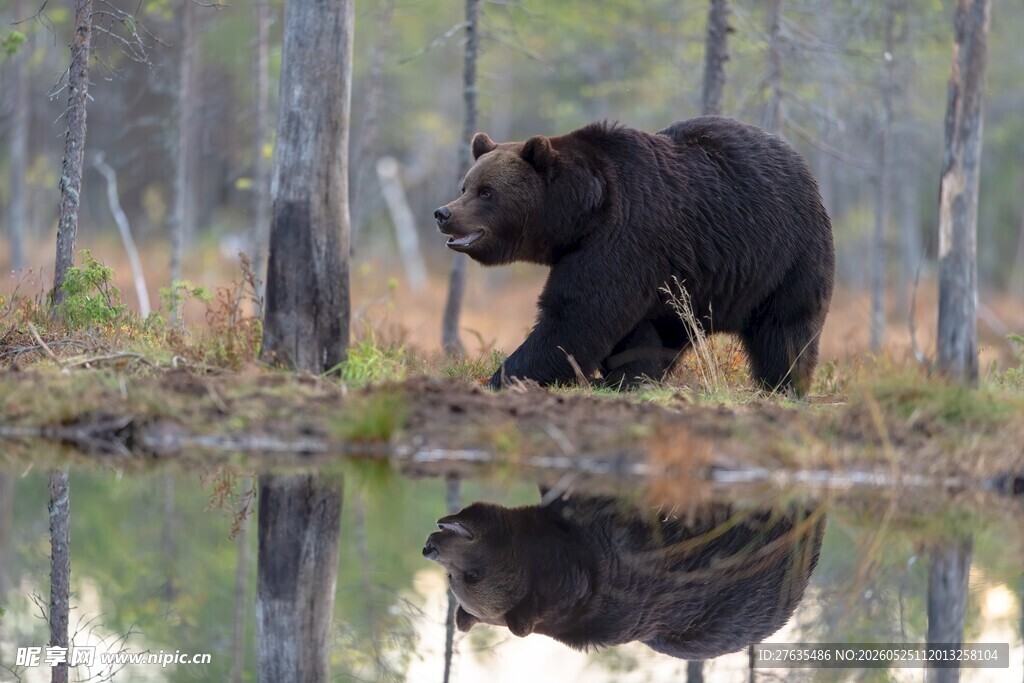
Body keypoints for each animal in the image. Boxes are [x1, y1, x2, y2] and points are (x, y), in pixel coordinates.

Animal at [433, 116, 835, 393]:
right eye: (465, 186)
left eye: (487, 191)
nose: (443, 213)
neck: (582, 214)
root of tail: (803, 165)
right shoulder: (626, 261)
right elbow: (630, 332)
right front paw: (624, 377)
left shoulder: (624, 237)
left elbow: (576, 316)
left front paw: (504, 376)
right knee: (672, 332)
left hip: (786, 256)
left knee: (785, 329)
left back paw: (785, 385)